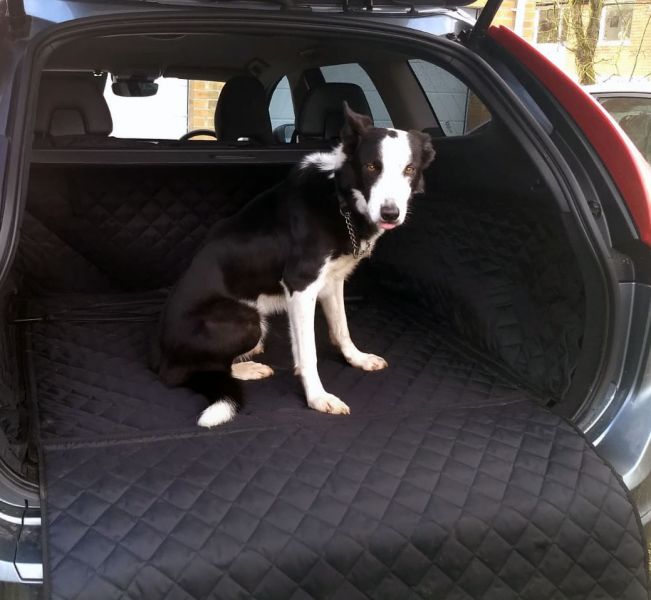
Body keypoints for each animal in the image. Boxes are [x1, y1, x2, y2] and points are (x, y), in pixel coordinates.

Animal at [155, 105, 436, 428]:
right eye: (371, 167)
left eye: (410, 170)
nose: (390, 214)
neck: (339, 198)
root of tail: (159, 355)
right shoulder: (301, 286)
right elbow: (308, 353)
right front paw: (317, 397)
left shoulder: (332, 281)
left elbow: (341, 328)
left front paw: (357, 359)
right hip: (246, 319)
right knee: (197, 370)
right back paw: (247, 367)